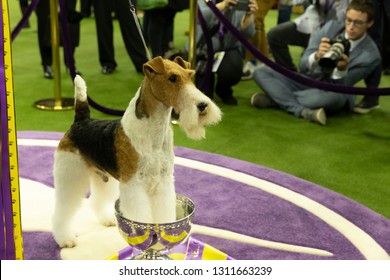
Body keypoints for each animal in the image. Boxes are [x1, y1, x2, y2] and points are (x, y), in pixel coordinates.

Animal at [51, 56, 222, 247]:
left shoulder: (163, 181)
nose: (203, 106)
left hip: (102, 177)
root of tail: (80, 121)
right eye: (172, 78)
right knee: (62, 209)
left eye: (190, 75)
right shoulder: (134, 184)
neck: (154, 133)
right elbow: (140, 215)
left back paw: (107, 219)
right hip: (70, 175)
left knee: (96, 200)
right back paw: (65, 239)